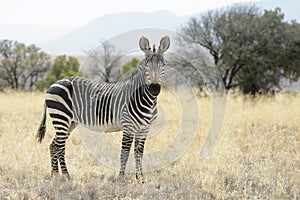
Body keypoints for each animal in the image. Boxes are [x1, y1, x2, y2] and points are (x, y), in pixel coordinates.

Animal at [36, 36, 170, 183]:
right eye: (146, 65)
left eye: (163, 65)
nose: (154, 88)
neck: (145, 99)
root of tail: (53, 84)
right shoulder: (128, 126)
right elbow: (125, 153)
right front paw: (121, 178)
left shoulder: (144, 128)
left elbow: (138, 153)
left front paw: (140, 178)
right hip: (61, 118)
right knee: (60, 147)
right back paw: (66, 176)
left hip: (69, 122)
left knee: (53, 145)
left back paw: (55, 175)